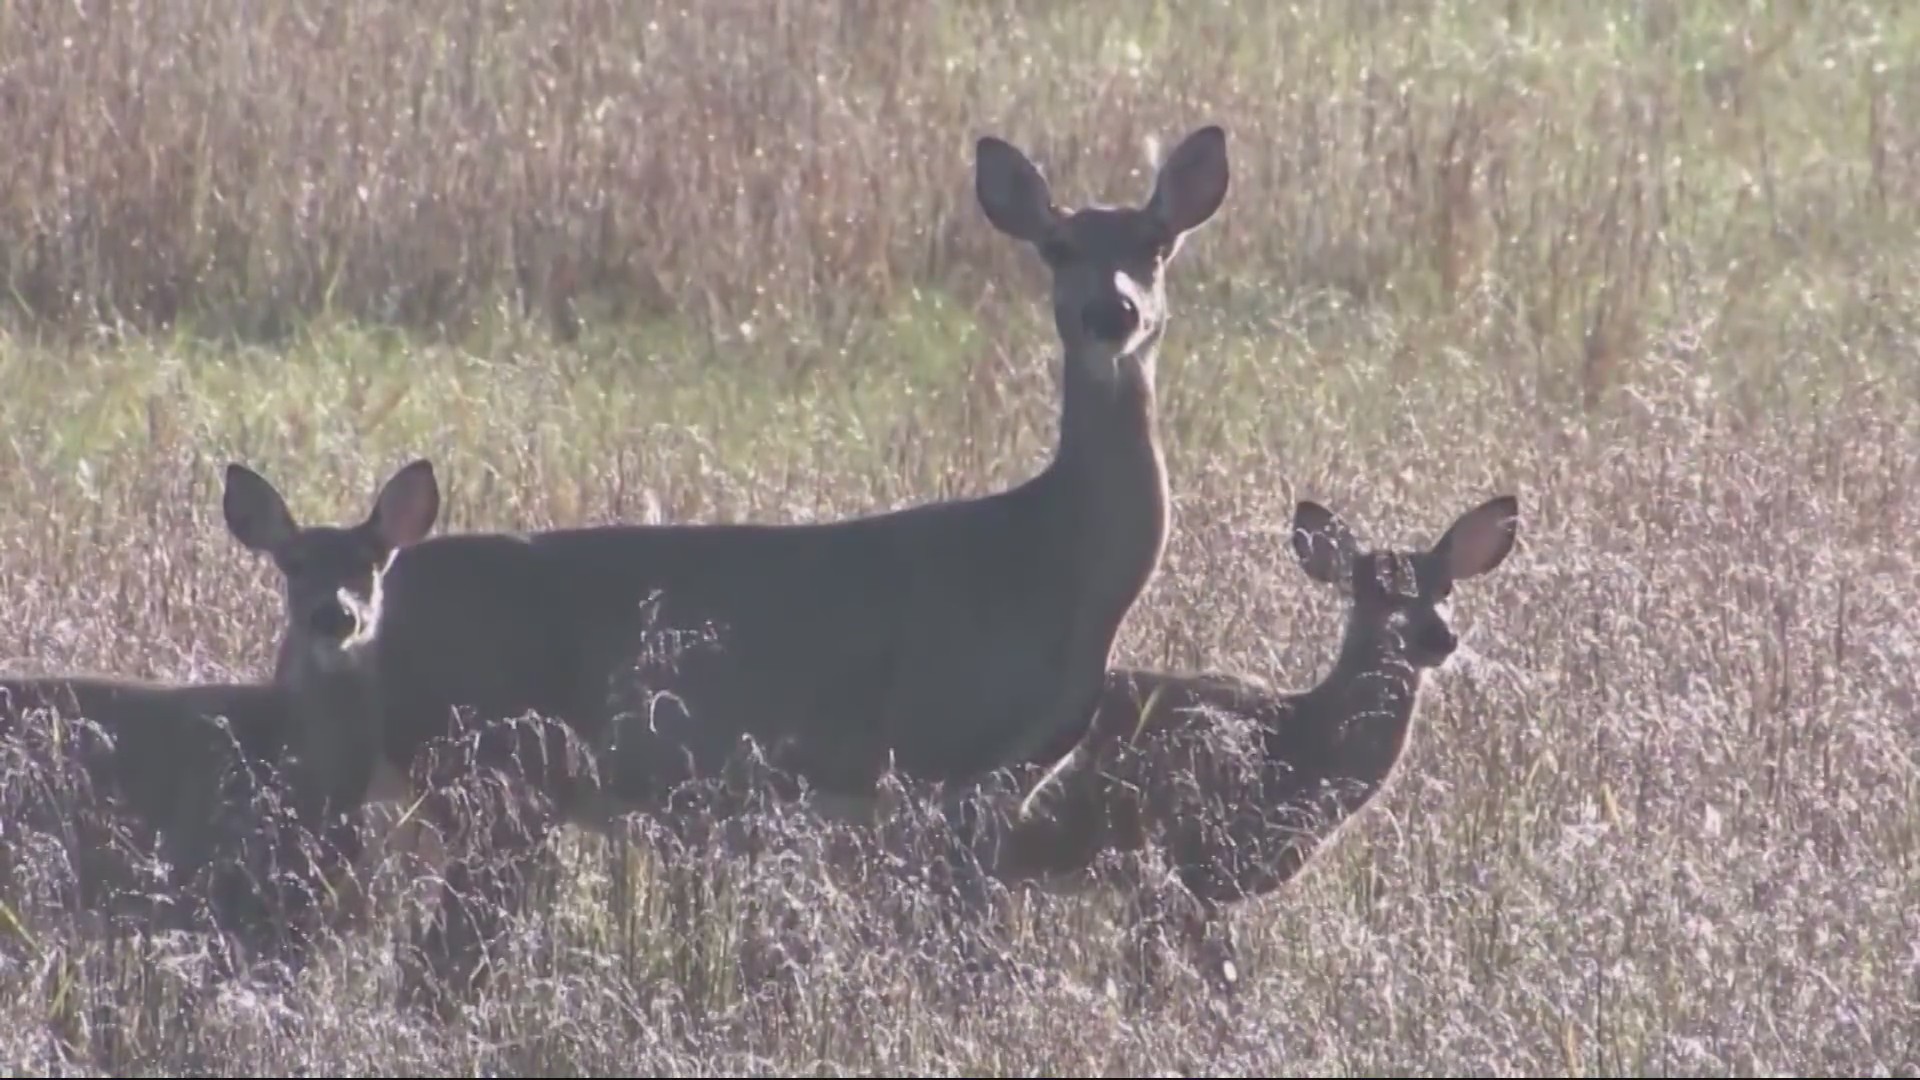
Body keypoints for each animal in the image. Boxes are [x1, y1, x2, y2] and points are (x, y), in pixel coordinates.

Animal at [284, 124, 1230, 1009]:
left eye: (1155, 243)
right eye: (1059, 246)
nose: (1111, 313)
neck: (1048, 563)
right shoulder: (936, 756)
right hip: (492, 777)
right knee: (428, 971)